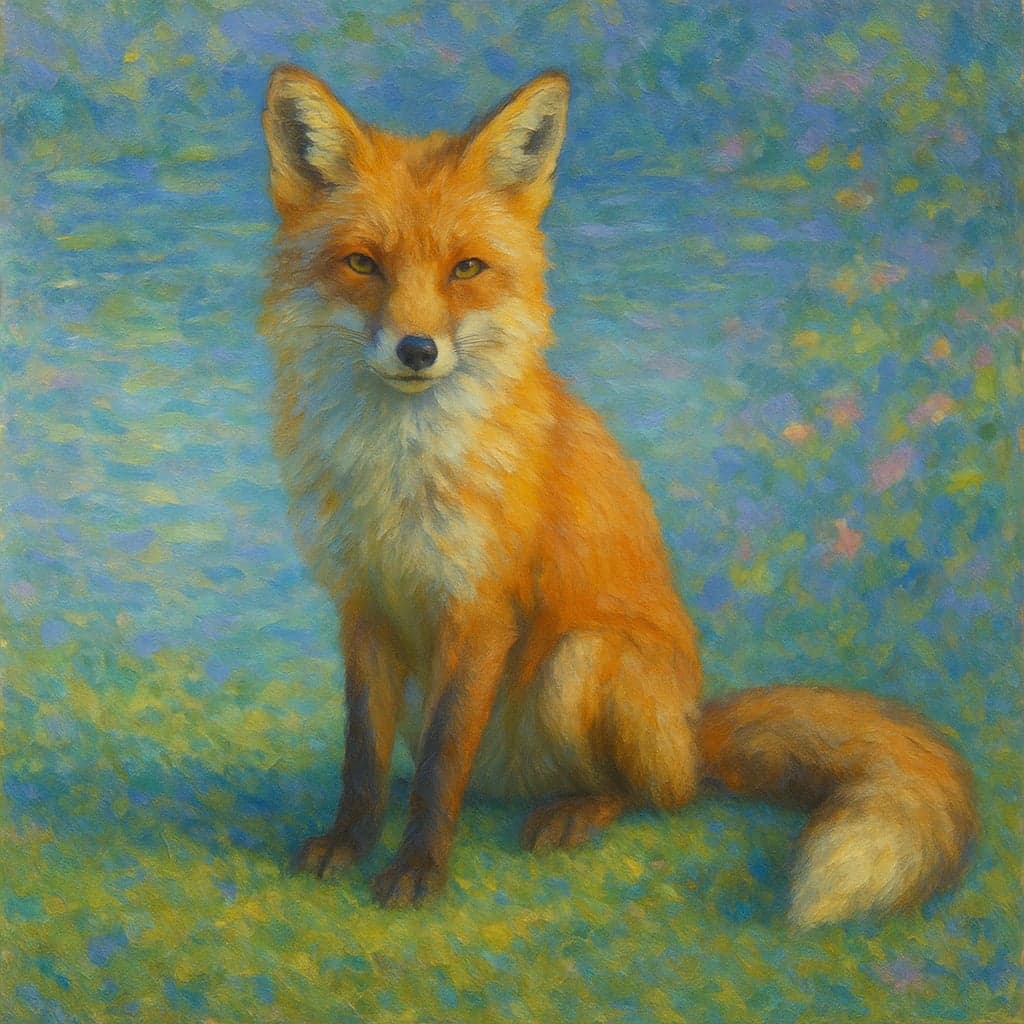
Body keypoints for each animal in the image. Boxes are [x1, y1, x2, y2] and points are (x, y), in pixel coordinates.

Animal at [258, 65, 977, 926]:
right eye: (364, 264)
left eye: (466, 269)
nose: (417, 350)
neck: (395, 467)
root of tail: (694, 729)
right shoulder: (363, 603)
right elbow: (362, 756)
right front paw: (351, 841)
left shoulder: (480, 608)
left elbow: (440, 763)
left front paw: (419, 869)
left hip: (582, 660)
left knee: (658, 794)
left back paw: (579, 812)